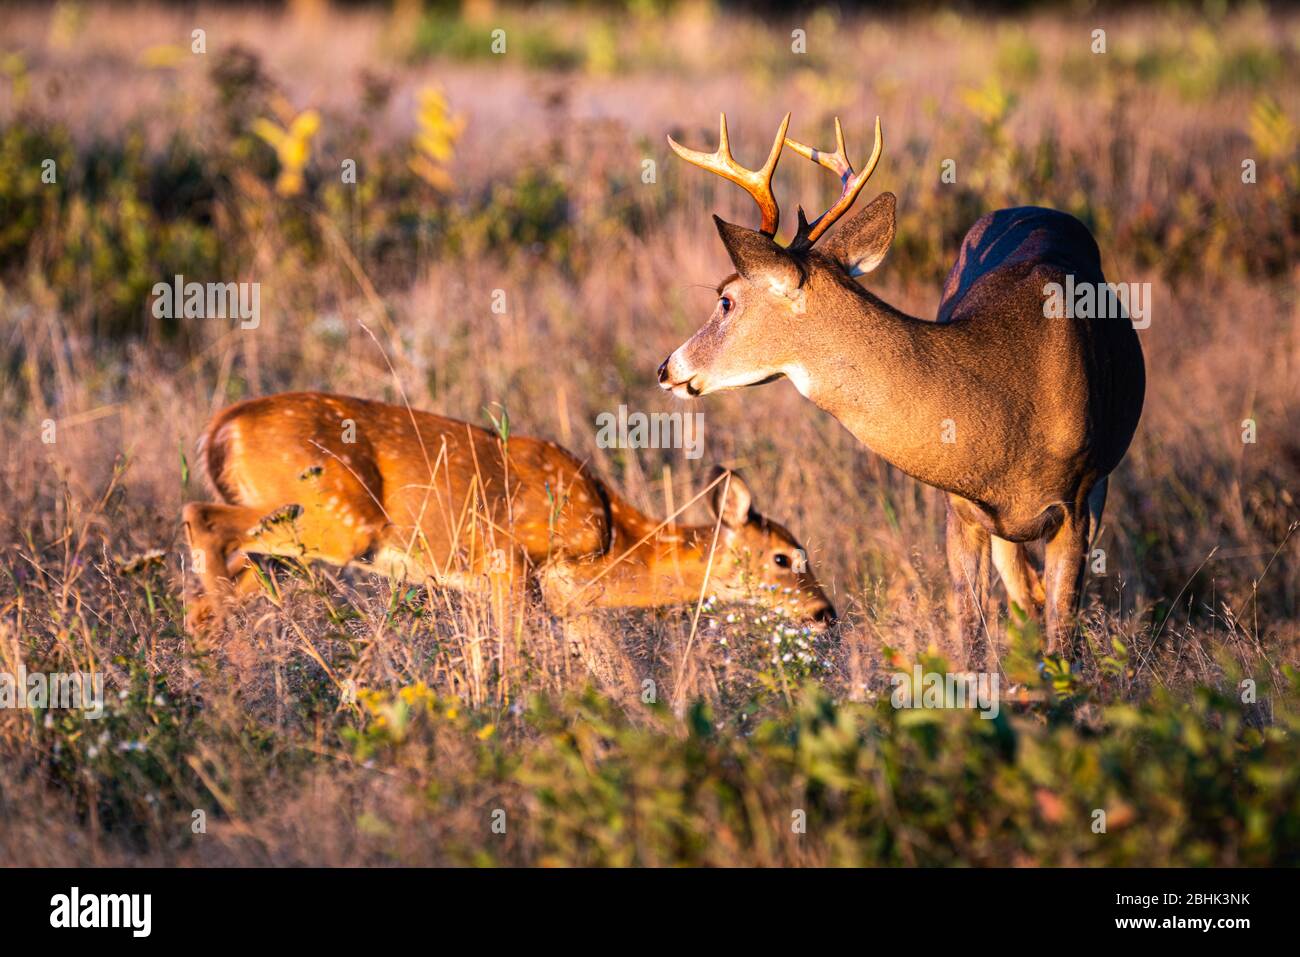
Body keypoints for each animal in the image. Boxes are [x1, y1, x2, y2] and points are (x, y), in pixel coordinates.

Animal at [181, 391, 836, 637]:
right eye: (784, 557)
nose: (826, 613)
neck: (612, 538)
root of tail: (222, 426)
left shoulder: (569, 604)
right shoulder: (509, 559)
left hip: (296, 539)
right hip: (336, 521)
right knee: (198, 517)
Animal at [658, 113, 1144, 665]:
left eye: (725, 301)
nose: (667, 368)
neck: (1010, 400)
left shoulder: (1077, 502)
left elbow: (1062, 642)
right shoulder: (961, 510)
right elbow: (973, 639)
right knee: (1025, 598)